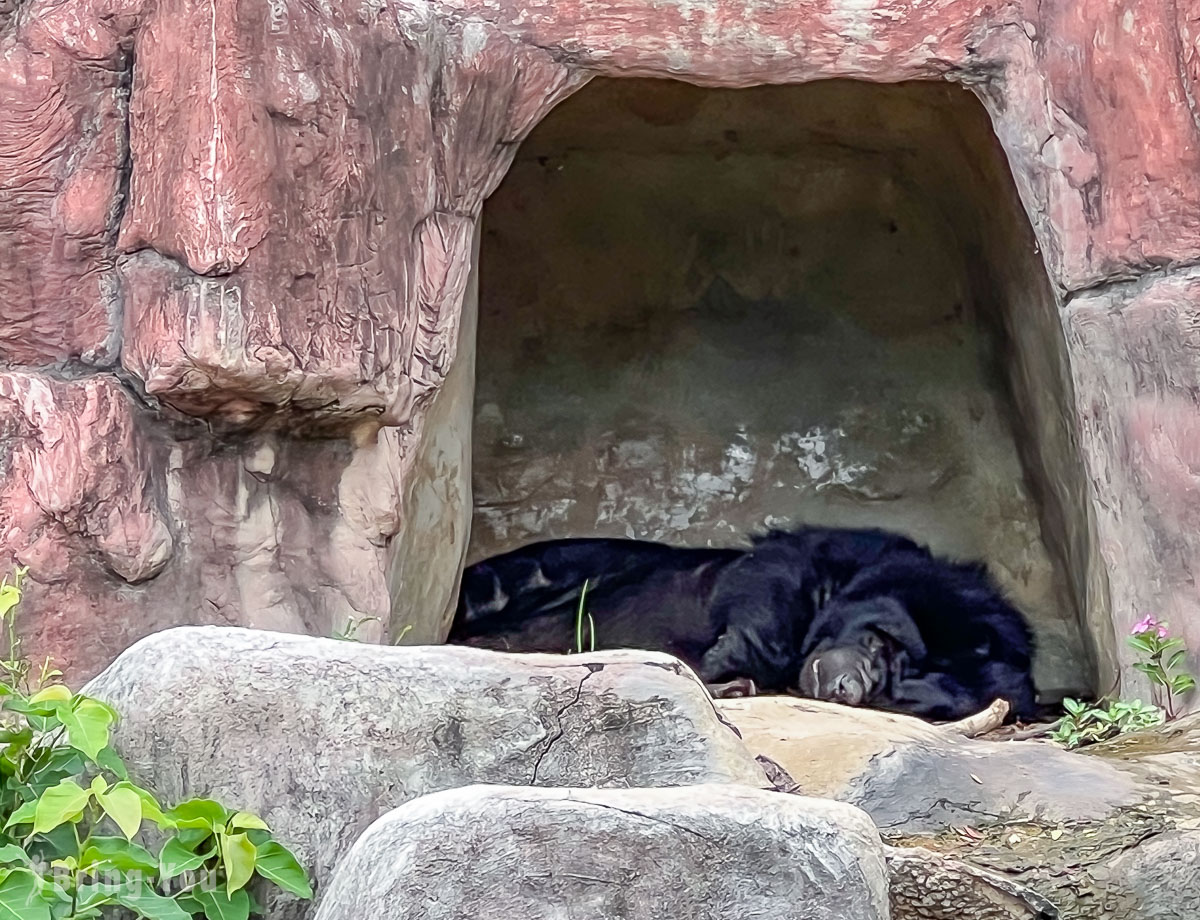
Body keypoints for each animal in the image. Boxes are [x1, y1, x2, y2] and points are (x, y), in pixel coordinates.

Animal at [446, 527, 1036, 724]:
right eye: (881, 643)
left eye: (900, 695)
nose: (852, 686)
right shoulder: (842, 550)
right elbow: (771, 577)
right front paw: (724, 667)